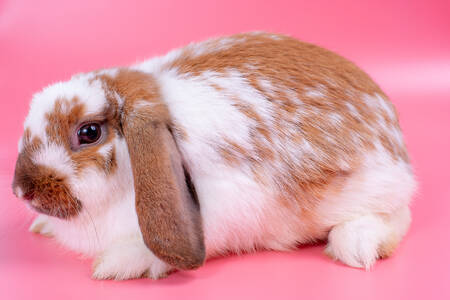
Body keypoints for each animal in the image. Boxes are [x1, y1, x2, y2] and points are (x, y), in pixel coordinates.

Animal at [13, 32, 414, 278]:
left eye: (89, 133)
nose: (20, 190)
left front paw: (118, 263)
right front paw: (42, 227)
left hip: (371, 186)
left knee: (397, 216)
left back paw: (355, 244)